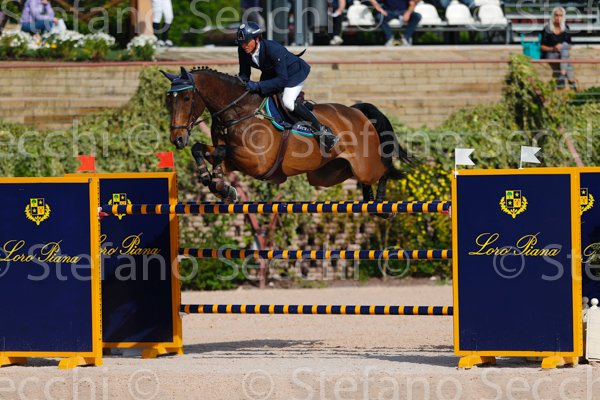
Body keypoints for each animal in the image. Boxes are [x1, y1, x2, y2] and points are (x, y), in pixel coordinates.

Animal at [161, 66, 412, 204]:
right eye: (169, 99)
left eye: (186, 98)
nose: (177, 139)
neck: (237, 112)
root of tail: (357, 112)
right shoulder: (236, 161)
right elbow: (203, 150)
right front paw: (216, 182)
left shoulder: (257, 162)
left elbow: (222, 151)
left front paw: (218, 182)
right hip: (327, 174)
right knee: (361, 178)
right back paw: (369, 200)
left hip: (364, 165)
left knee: (383, 171)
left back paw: (380, 206)